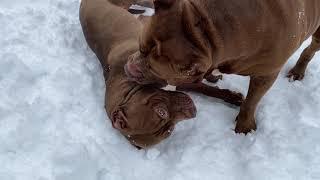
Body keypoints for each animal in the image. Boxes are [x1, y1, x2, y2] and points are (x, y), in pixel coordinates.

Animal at [79, 0, 242, 148]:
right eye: (169, 130)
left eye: (161, 112)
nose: (192, 111)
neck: (128, 87)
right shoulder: (178, 80)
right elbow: (205, 88)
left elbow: (207, 86)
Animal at [125, 0, 320, 134]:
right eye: (140, 47)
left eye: (153, 69)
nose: (130, 67)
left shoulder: (266, 74)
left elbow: (251, 102)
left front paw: (244, 126)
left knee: (311, 48)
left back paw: (298, 71)